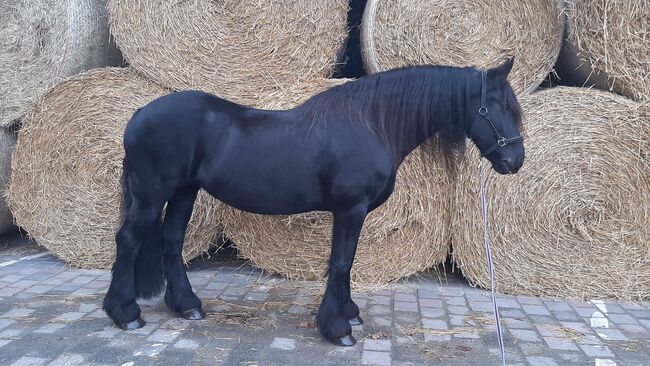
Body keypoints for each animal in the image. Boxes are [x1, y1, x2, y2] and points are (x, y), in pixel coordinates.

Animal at [104, 58, 524, 346]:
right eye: (493, 108)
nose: (514, 161)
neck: (370, 123)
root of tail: (139, 114)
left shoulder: (354, 213)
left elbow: (348, 263)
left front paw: (349, 314)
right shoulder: (350, 209)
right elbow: (340, 263)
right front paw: (337, 328)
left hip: (183, 193)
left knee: (172, 242)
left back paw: (187, 305)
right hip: (151, 196)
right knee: (128, 242)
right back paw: (125, 313)